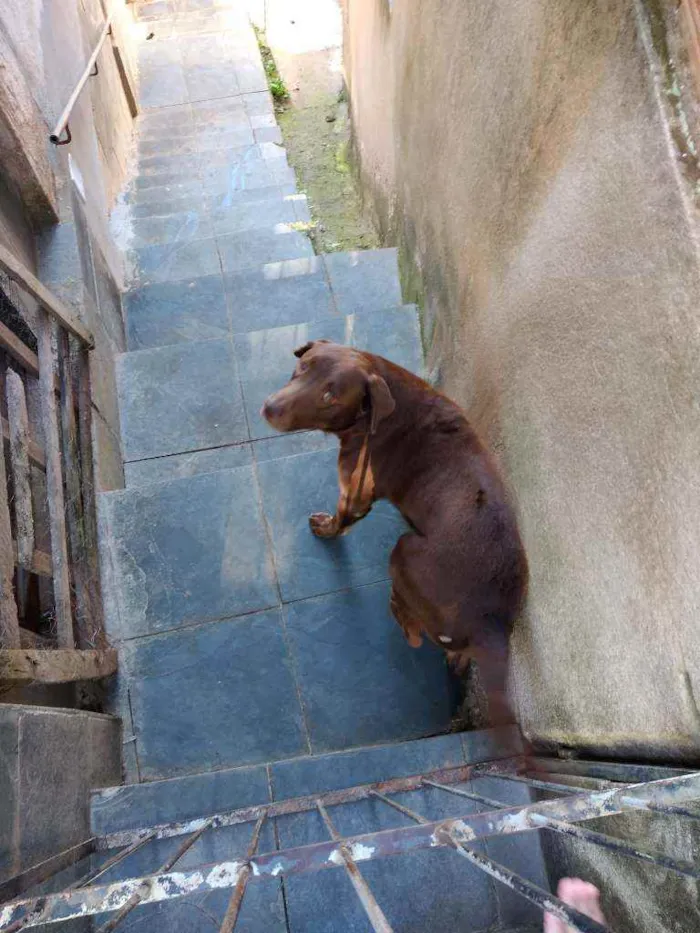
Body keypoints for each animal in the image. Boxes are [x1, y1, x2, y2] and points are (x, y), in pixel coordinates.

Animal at [262, 338, 524, 724]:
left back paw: (400, 612)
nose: (269, 408)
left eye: (330, 396)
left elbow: (340, 521)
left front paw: (325, 528)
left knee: (414, 628)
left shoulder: (355, 494)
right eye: (304, 367)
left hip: (404, 553)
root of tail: (490, 618)